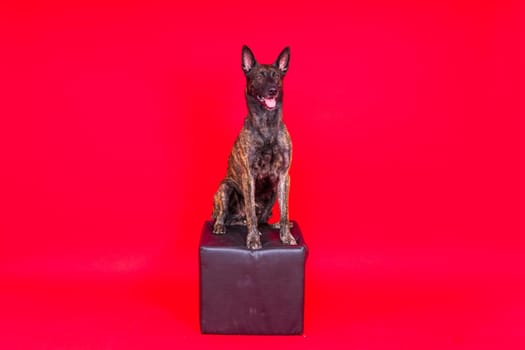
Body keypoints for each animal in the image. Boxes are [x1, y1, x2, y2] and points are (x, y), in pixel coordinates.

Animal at [212, 45, 294, 249]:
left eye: (276, 76)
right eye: (258, 77)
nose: (273, 90)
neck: (267, 125)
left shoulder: (284, 176)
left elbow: (285, 211)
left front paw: (286, 236)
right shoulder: (248, 176)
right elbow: (250, 212)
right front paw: (254, 239)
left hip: (273, 192)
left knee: (262, 218)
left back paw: (274, 225)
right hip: (225, 188)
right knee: (225, 215)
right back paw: (220, 226)